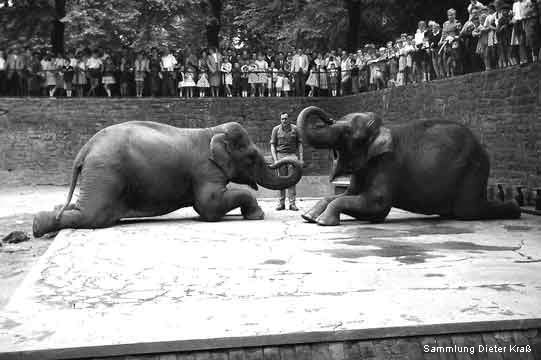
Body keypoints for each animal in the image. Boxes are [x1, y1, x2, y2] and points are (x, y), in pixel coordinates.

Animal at [32, 122, 304, 238]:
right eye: (251, 157)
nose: (288, 159)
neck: (211, 131)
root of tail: (85, 148)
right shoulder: (206, 169)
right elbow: (208, 206)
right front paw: (257, 215)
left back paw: (42, 222)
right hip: (106, 172)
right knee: (94, 216)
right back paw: (37, 225)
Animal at [298, 105, 520, 226]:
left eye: (351, 134)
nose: (328, 117)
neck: (383, 130)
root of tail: (482, 148)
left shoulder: (388, 164)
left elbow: (377, 205)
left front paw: (323, 221)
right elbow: (345, 195)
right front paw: (309, 216)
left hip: (473, 169)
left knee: (468, 211)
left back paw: (515, 210)